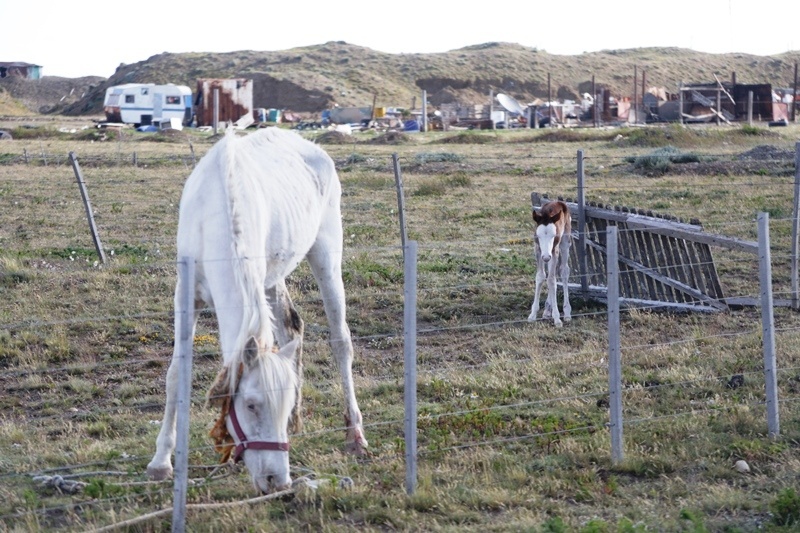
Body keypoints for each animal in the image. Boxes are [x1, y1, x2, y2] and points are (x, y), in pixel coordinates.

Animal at [145, 127, 368, 492]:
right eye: (251, 405)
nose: (277, 479)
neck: (216, 215)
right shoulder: (186, 294)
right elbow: (177, 372)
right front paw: (161, 461)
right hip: (273, 279)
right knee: (292, 328)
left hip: (326, 255)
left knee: (341, 341)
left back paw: (356, 434)